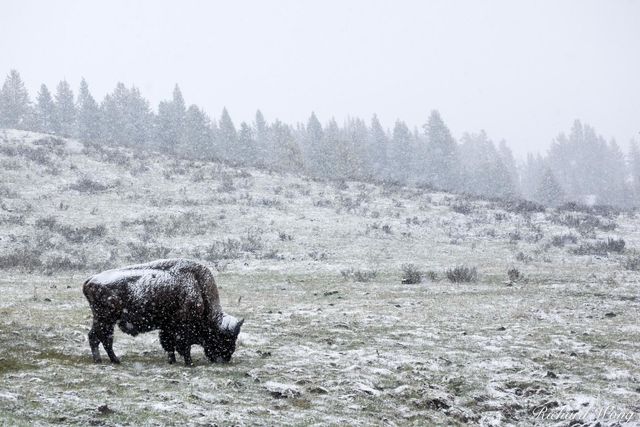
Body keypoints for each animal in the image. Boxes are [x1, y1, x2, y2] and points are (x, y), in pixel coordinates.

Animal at [84, 260, 244, 366]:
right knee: (101, 339)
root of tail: (90, 280)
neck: (197, 287)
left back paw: (106, 360)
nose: (226, 358)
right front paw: (189, 363)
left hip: (104, 321)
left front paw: (172, 361)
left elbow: (169, 345)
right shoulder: (182, 328)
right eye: (225, 338)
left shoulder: (167, 327)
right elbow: (183, 346)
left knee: (98, 338)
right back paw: (111, 360)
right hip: (105, 320)